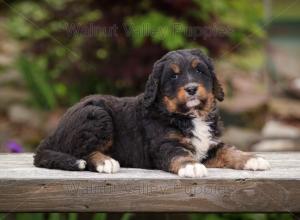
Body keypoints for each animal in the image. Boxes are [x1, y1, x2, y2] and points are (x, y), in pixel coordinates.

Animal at [33, 49, 270, 178]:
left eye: (199, 70)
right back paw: (105, 162)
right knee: (81, 151)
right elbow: (180, 154)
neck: (189, 116)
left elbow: (229, 151)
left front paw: (253, 159)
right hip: (96, 115)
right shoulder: (164, 145)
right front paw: (192, 167)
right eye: (173, 76)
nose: (192, 88)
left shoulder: (209, 146)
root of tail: (54, 131)